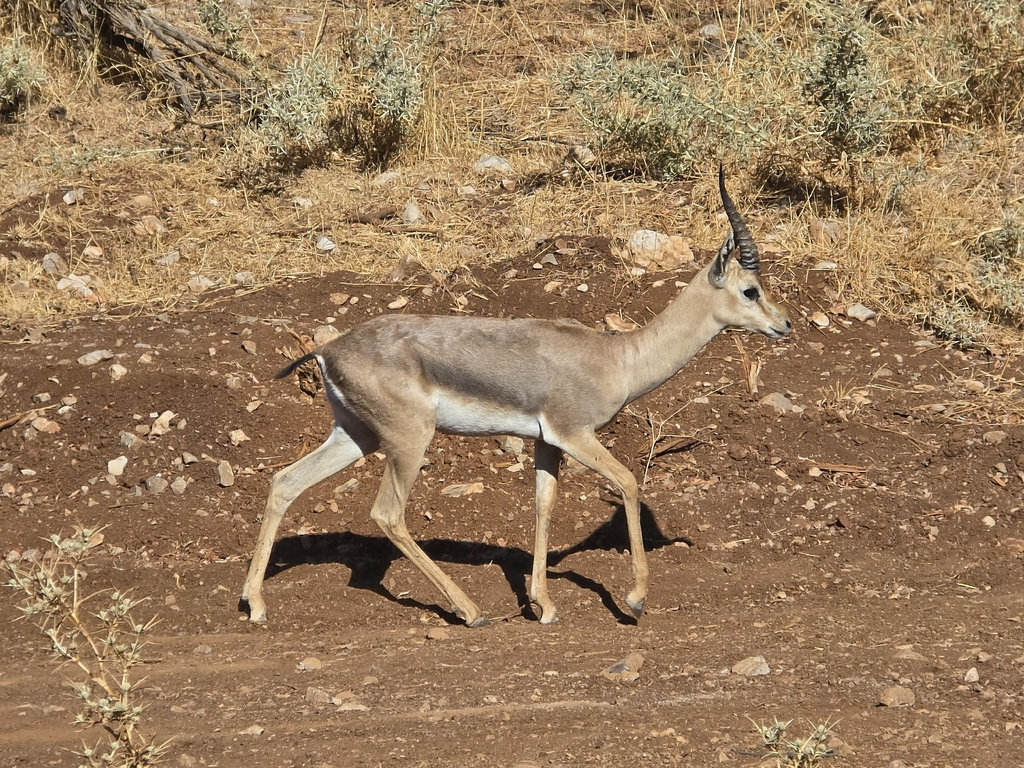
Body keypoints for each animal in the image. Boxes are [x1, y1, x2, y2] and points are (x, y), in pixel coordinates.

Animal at [241, 167, 791, 627]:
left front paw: (542, 604)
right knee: (387, 515)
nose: (785, 324)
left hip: (355, 435)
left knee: (285, 482)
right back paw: (470, 611)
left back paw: (256, 604)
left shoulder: (548, 441)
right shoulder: (575, 434)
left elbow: (543, 504)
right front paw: (634, 600)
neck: (618, 358)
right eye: (750, 289)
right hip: (408, 440)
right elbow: (630, 482)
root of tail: (328, 349)